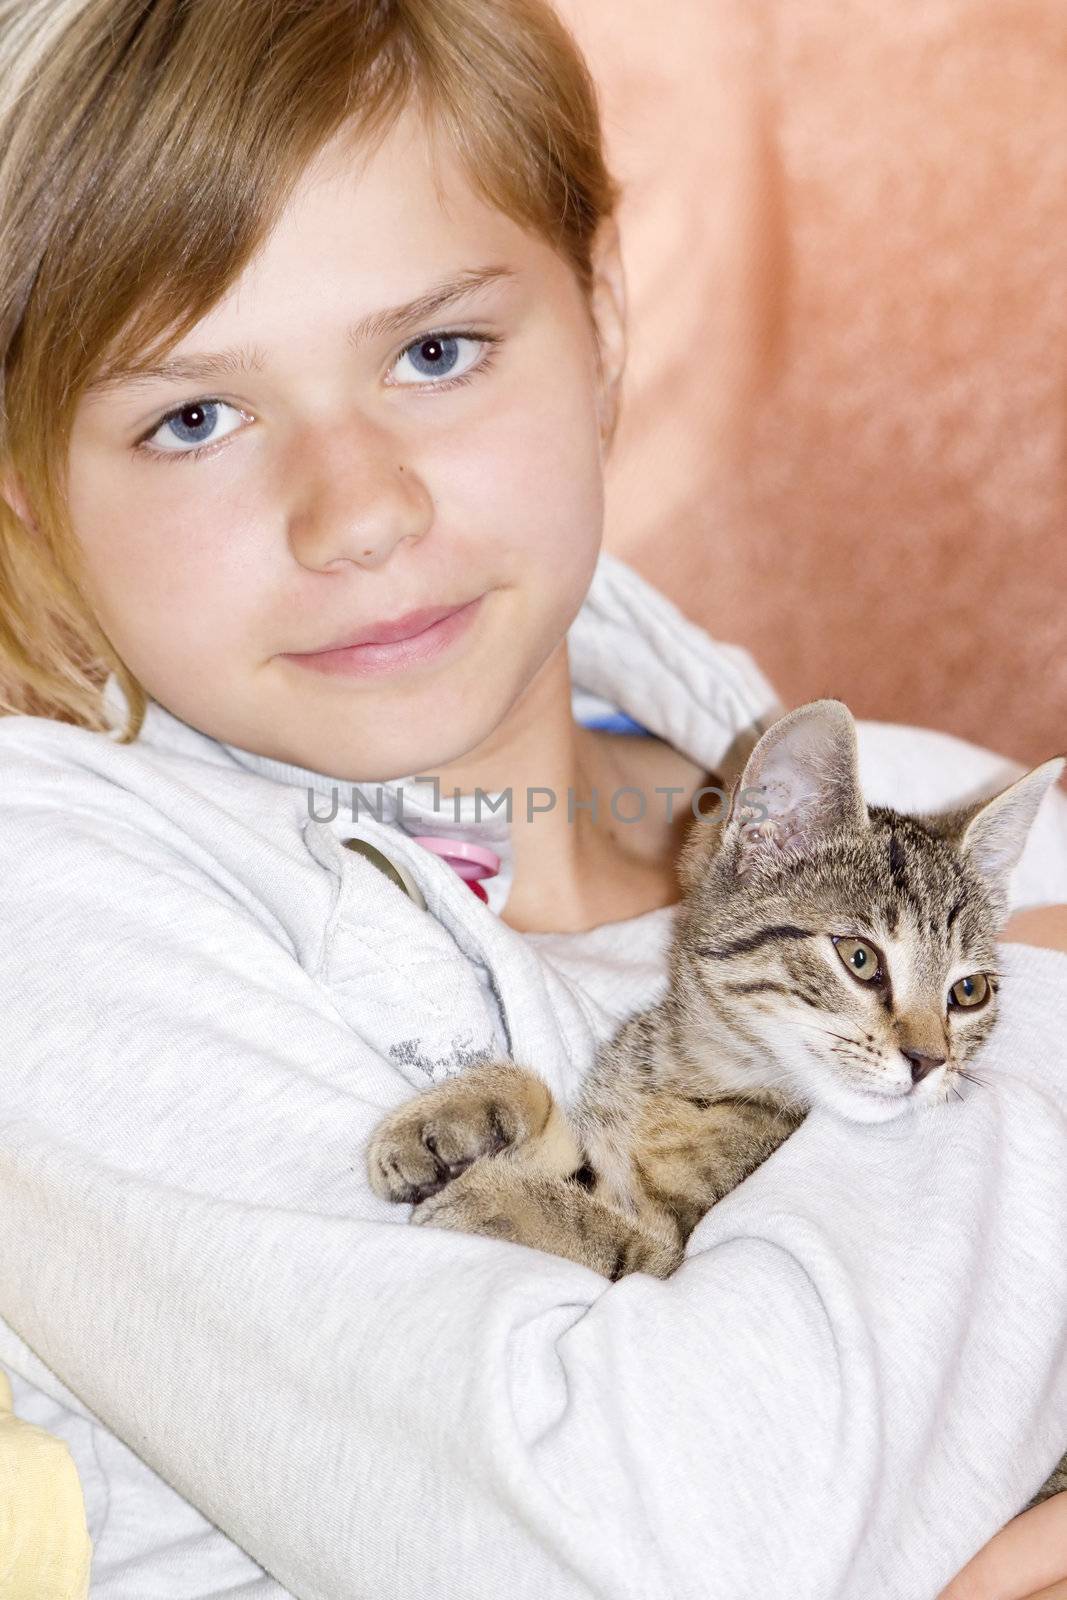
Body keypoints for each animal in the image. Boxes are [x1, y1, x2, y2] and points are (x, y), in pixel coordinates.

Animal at [367, 694, 1067, 1504]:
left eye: (968, 991)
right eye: (859, 958)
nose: (929, 1061)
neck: (694, 1072)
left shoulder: (668, 1255)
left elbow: (603, 1237)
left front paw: (483, 1196)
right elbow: (542, 1104)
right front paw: (442, 1123)